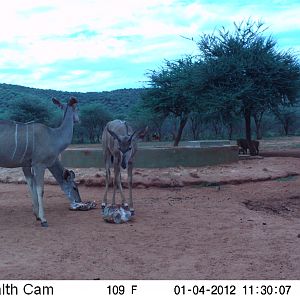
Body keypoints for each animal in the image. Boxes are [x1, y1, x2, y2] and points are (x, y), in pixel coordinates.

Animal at [0, 97, 78, 226]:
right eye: (75, 187)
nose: (78, 200)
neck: (54, 136)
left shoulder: (27, 165)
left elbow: (31, 186)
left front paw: (36, 215)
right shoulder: (39, 165)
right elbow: (40, 190)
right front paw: (43, 219)